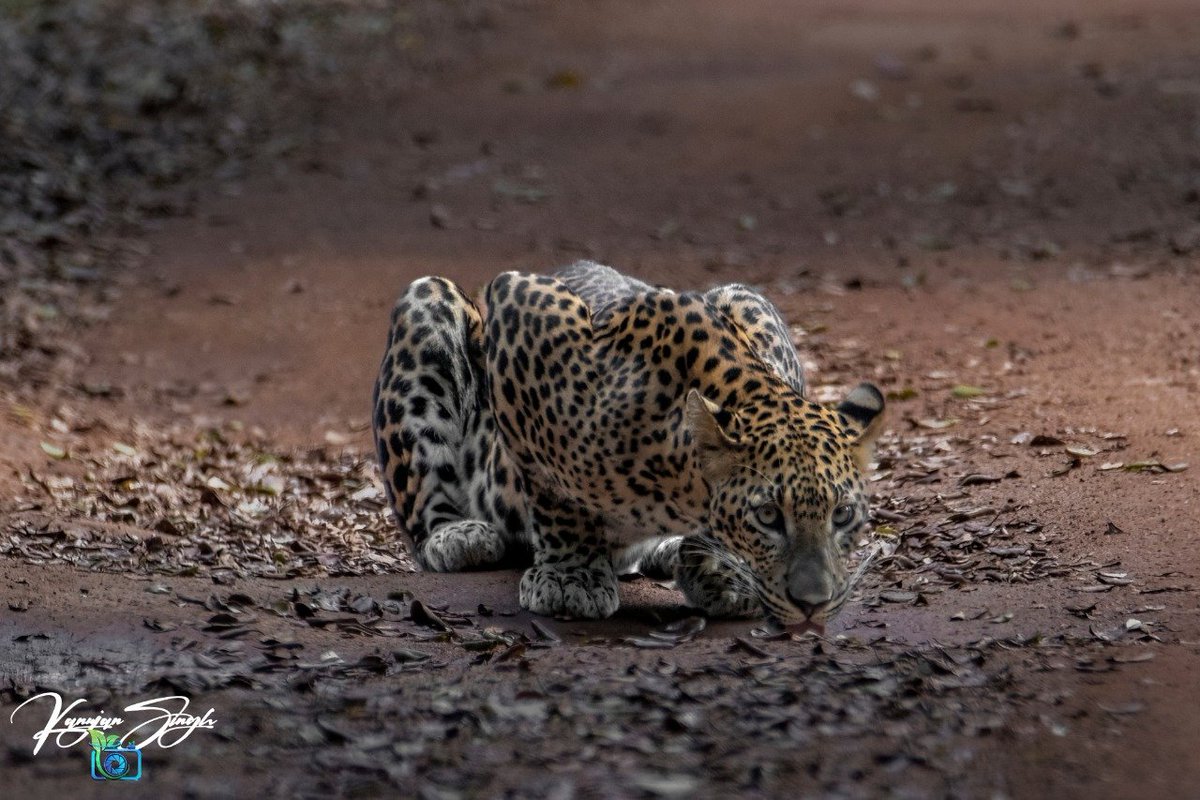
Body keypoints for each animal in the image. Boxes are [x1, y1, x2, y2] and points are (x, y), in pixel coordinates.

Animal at [372, 261, 884, 632]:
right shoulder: (520, 304)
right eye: (768, 516)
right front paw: (570, 577)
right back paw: (458, 536)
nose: (812, 603)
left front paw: (724, 569)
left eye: (843, 516)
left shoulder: (753, 310)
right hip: (427, 302)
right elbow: (552, 485)